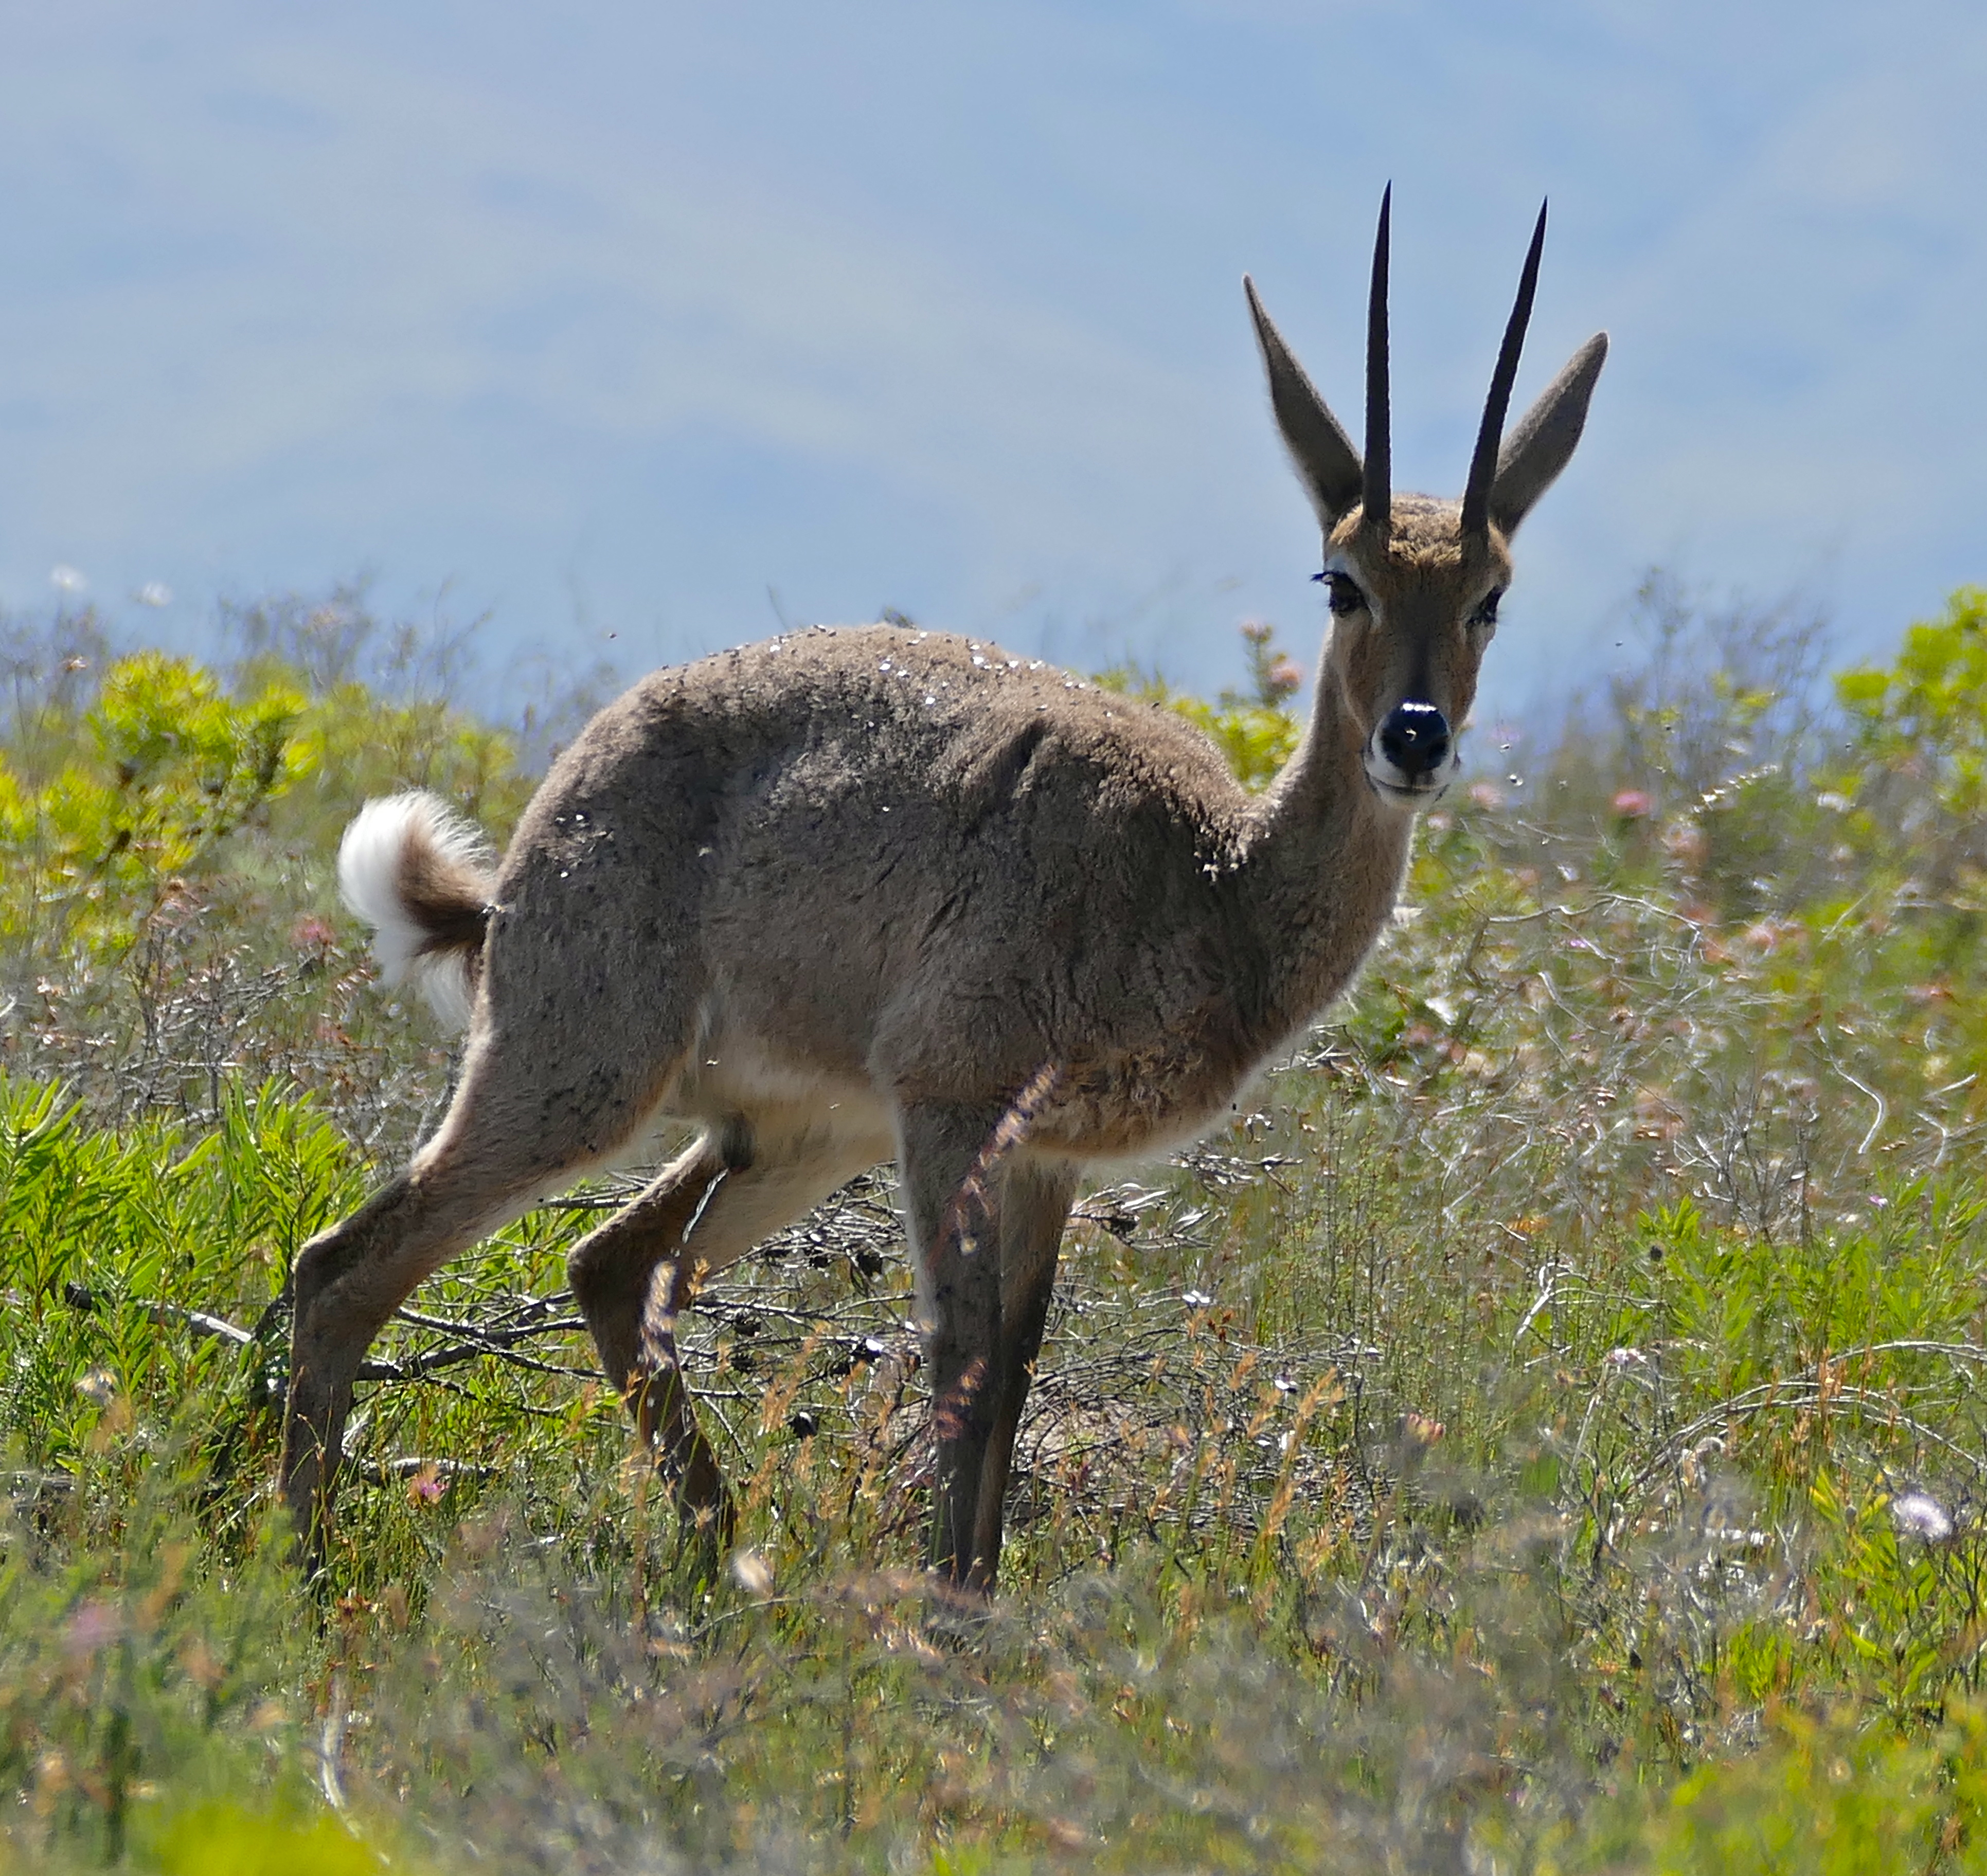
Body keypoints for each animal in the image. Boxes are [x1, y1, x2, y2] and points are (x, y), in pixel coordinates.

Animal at [284, 197, 1613, 1590]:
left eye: (1487, 596)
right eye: (1340, 578)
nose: (1411, 737)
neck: (1210, 880)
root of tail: (536, 838)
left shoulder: (1044, 1156)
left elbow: (1014, 1372)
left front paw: (974, 1604)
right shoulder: (953, 1108)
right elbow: (960, 1363)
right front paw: (934, 1613)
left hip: (795, 1135)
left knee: (607, 1267)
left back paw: (723, 1561)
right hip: (582, 1076)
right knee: (345, 1264)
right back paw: (304, 1565)